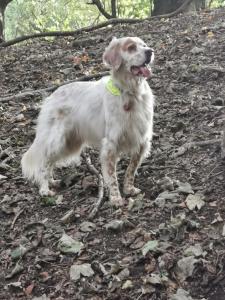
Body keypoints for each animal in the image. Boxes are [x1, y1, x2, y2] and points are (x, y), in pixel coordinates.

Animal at [21, 37, 155, 206]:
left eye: (144, 45)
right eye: (131, 48)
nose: (150, 51)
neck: (131, 93)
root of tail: (50, 98)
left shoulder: (141, 141)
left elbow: (131, 169)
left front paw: (129, 189)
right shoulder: (110, 145)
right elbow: (112, 176)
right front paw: (116, 198)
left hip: (70, 143)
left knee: (50, 163)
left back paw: (52, 181)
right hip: (58, 141)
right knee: (44, 163)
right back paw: (45, 189)